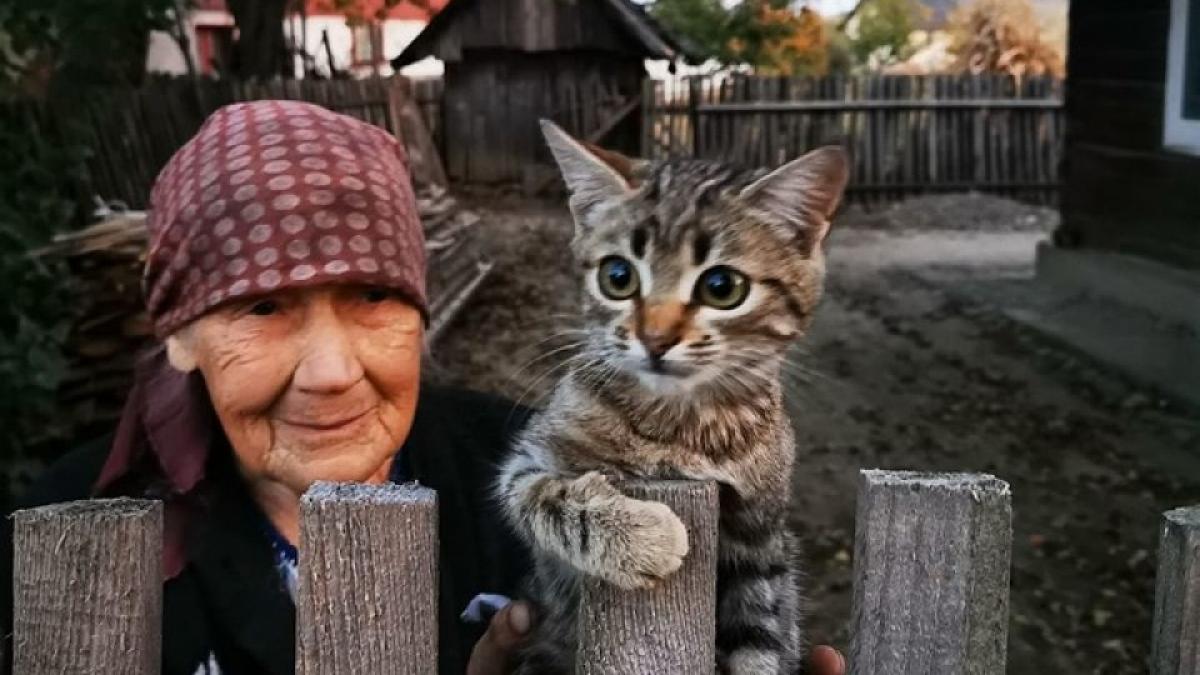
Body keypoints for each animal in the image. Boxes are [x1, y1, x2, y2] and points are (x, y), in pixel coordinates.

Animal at [492, 121, 849, 672]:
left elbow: (761, 642)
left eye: (722, 287)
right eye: (617, 277)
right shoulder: (529, 459)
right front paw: (637, 535)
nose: (655, 339)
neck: (679, 424)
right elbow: (545, 495)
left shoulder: (762, 545)